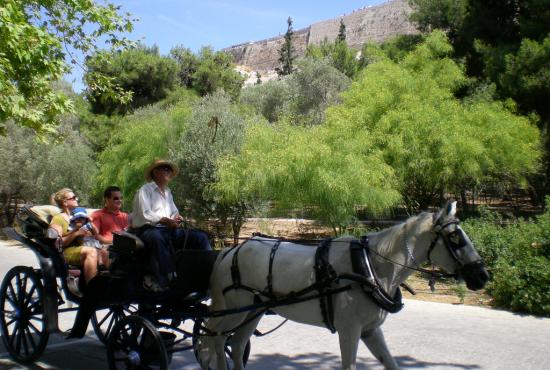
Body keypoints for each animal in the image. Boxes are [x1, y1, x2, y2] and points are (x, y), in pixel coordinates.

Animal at [199, 202, 492, 370]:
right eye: (455, 237)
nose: (483, 275)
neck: (370, 267)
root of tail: (230, 251)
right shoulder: (349, 331)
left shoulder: (371, 331)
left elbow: (392, 364)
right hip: (234, 310)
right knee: (215, 336)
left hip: (253, 311)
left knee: (236, 345)